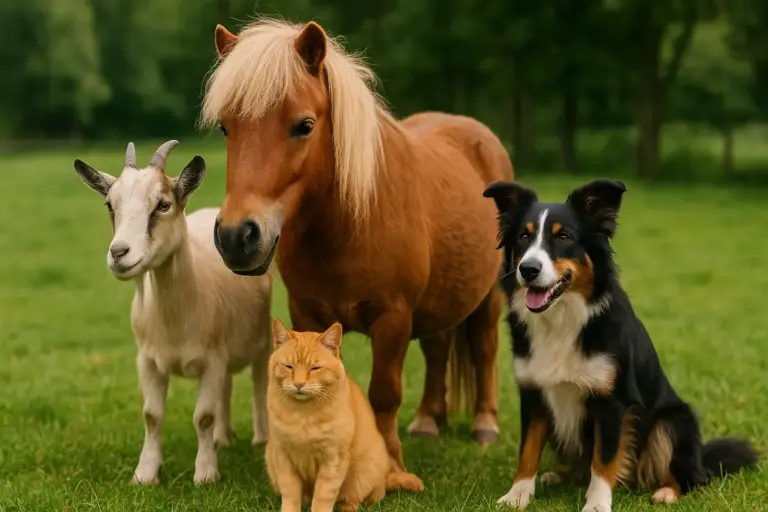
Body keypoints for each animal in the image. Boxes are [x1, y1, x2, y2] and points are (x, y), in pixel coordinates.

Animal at [201, 18, 514, 487]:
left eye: (304, 125)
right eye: (226, 127)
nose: (238, 236)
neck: (348, 226)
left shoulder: (393, 318)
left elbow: (383, 394)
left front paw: (390, 467)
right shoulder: (307, 314)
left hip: (489, 295)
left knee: (484, 347)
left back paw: (485, 425)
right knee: (439, 347)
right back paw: (428, 420)